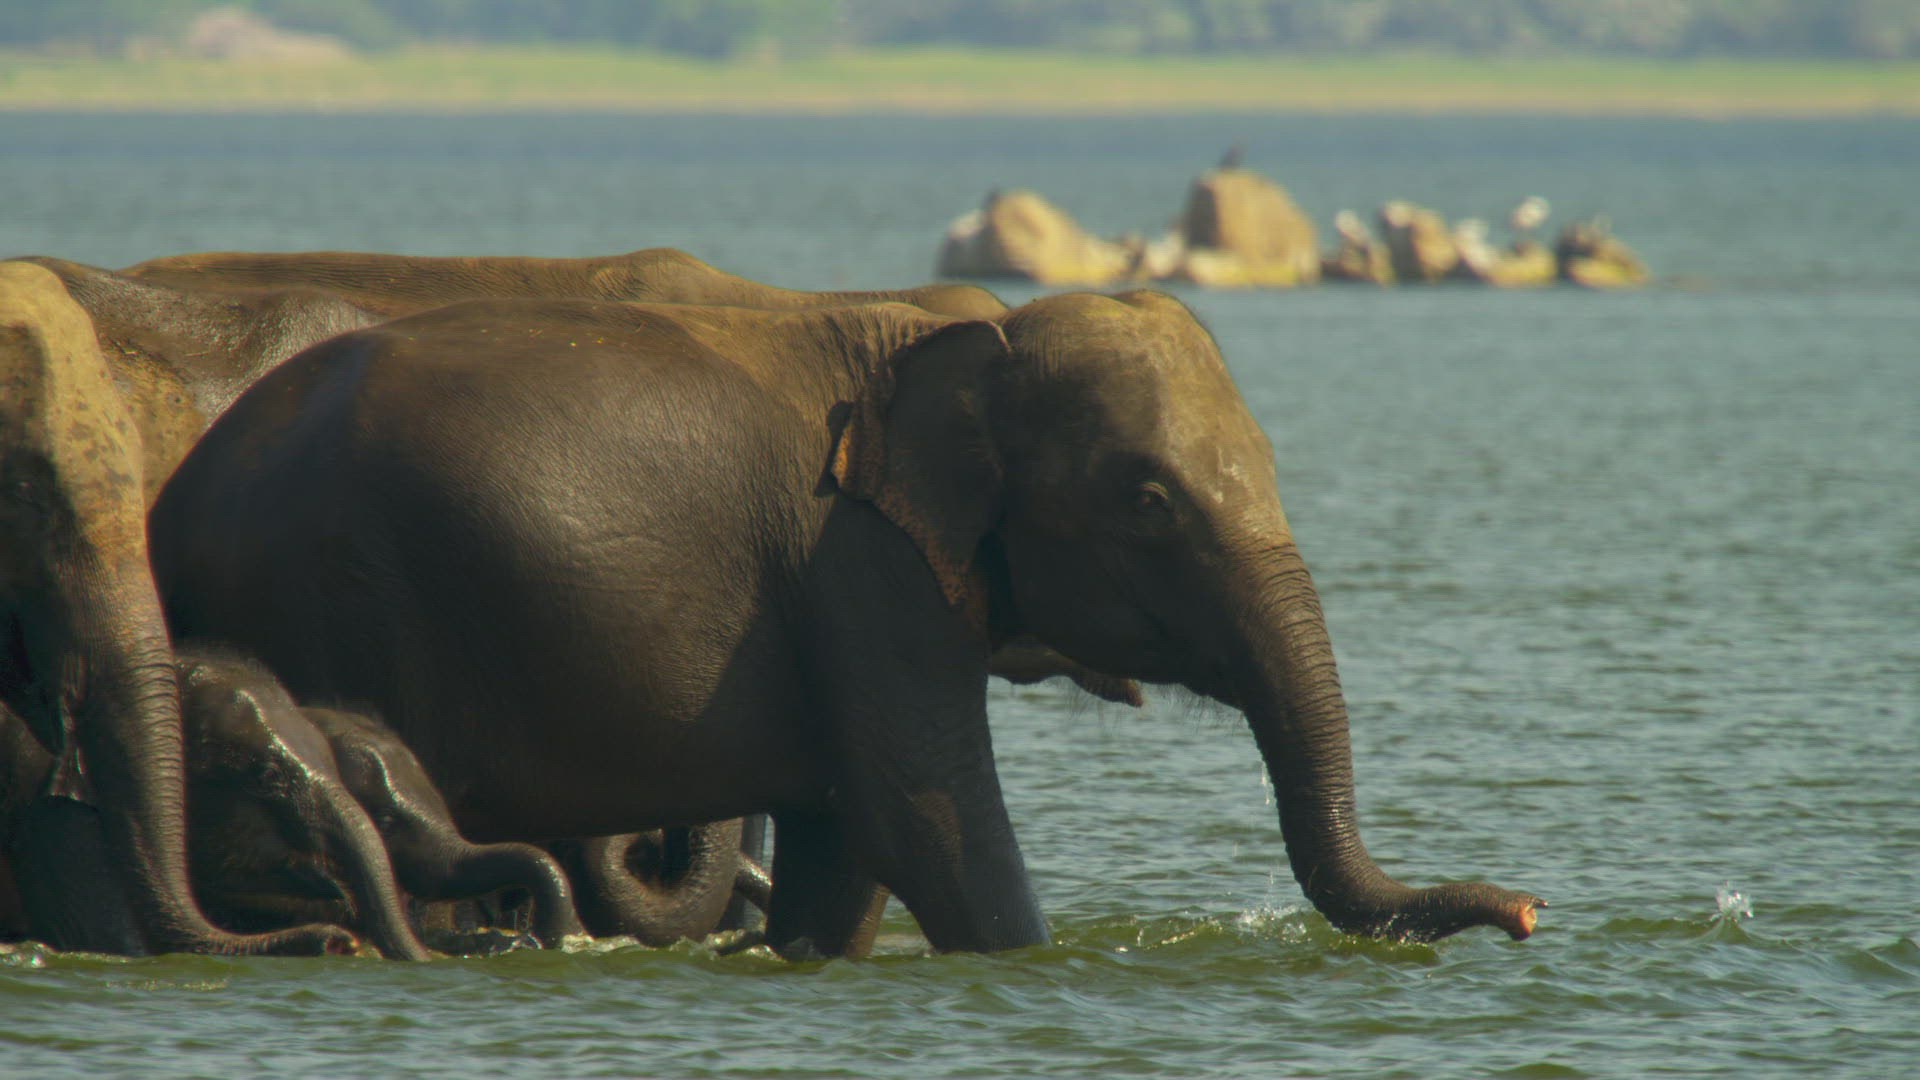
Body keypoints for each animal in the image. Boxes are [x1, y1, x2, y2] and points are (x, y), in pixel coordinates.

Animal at [149, 290, 1543, 958]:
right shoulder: (861, 573)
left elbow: (843, 846)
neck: (958, 339)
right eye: (1147, 503)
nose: (1530, 910)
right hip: (330, 593)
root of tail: (176, 496)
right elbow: (925, 815)